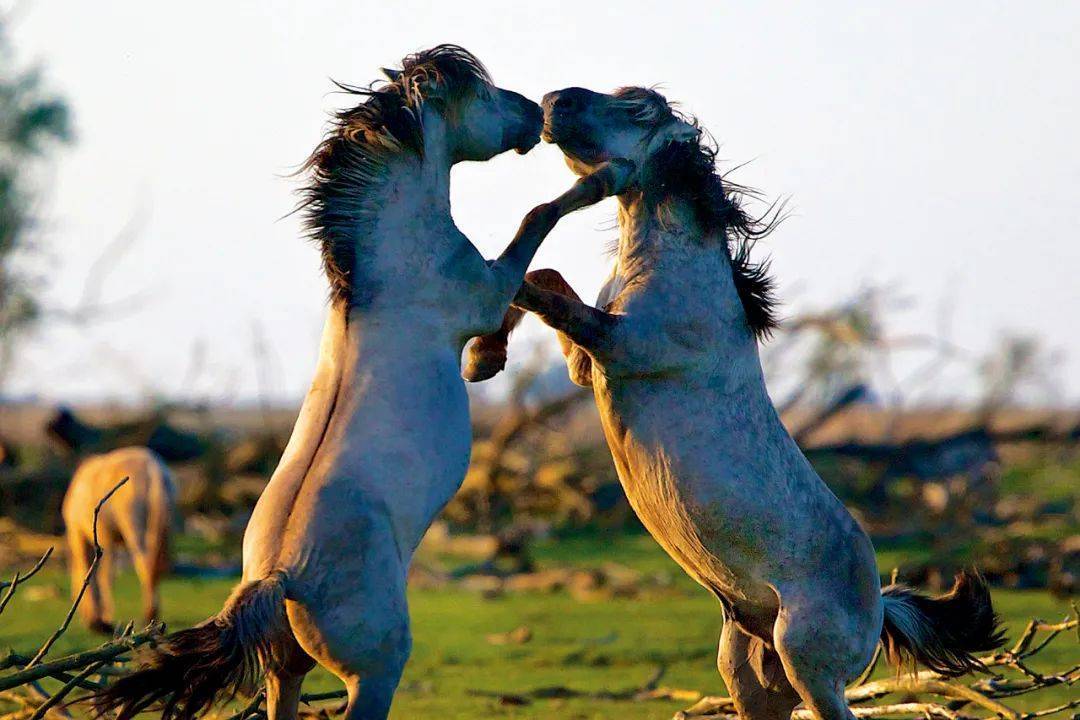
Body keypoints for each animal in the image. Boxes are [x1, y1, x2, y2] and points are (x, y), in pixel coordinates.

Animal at [61, 446, 172, 634]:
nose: (85, 620)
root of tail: (153, 469)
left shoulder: (85, 535)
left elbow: (100, 575)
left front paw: (101, 619)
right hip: (162, 528)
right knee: (156, 569)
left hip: (133, 526)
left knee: (145, 565)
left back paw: (148, 614)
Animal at [95, 46, 630, 720]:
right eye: (482, 95)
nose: (536, 113)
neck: (389, 268)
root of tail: (282, 576)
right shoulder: (482, 290)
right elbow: (535, 229)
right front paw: (602, 180)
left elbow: (532, 277)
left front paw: (484, 361)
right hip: (375, 671)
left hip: (286, 670)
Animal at [464, 87, 1002, 720]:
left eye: (638, 107)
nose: (552, 102)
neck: (672, 266)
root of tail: (879, 601)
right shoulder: (587, 363)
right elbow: (544, 279)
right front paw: (483, 358)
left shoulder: (619, 344)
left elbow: (532, 285)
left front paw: (479, 347)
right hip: (750, 674)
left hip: (806, 663)